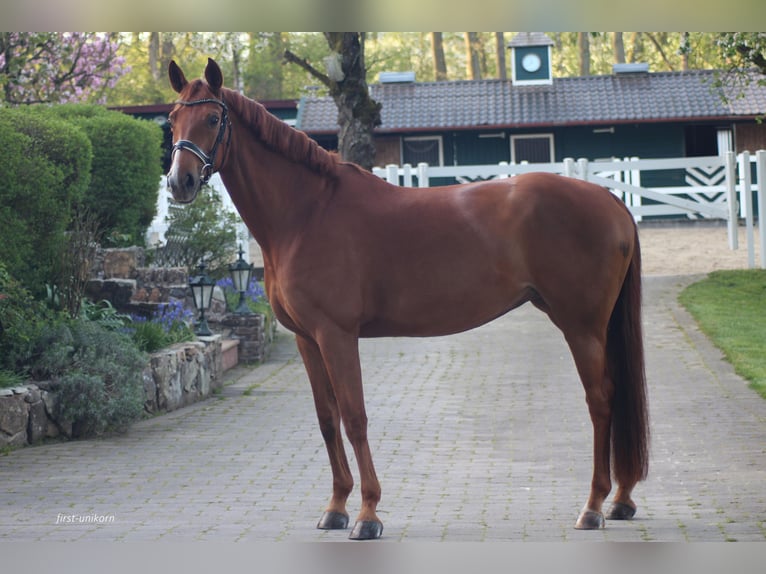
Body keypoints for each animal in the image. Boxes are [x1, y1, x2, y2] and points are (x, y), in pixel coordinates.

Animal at [166, 58, 648, 540]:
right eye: (172, 120)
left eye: (213, 119)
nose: (179, 183)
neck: (306, 214)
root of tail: (611, 200)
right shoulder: (307, 339)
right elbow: (327, 419)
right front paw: (336, 507)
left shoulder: (337, 335)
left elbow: (355, 417)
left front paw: (367, 514)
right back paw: (621, 501)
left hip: (581, 326)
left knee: (601, 399)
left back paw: (593, 506)